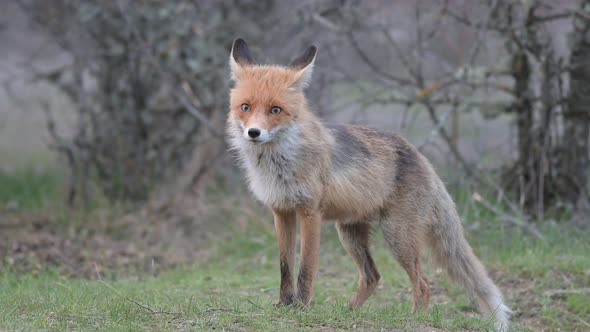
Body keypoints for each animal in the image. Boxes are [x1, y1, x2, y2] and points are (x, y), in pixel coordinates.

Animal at [229, 38, 512, 330]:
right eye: (245, 107)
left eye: (275, 110)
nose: (253, 133)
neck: (279, 165)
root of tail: (422, 158)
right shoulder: (282, 211)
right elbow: (285, 267)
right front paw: (284, 305)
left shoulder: (309, 212)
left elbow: (306, 269)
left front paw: (301, 307)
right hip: (350, 233)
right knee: (372, 276)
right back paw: (348, 313)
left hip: (397, 236)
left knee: (423, 284)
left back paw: (414, 319)